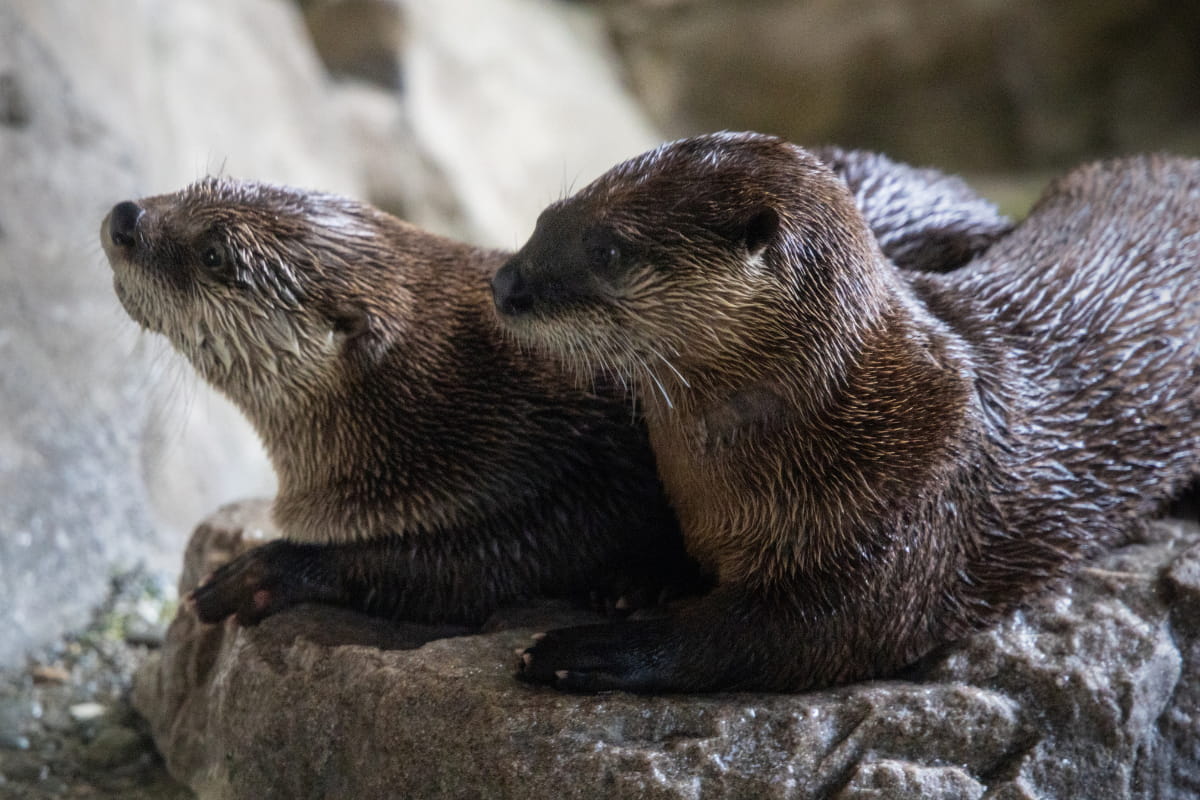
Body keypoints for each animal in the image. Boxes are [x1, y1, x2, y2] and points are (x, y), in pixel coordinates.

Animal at [99, 155, 1008, 629]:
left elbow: (495, 562)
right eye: (202, 185)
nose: (126, 217)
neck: (441, 405)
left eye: (216, 253)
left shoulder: (579, 459)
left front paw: (262, 572)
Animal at [493, 132, 1200, 693]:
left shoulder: (911, 511)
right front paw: (640, 574)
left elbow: (782, 636)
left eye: (609, 250)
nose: (505, 284)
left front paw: (576, 650)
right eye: (546, 216)